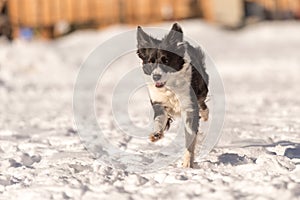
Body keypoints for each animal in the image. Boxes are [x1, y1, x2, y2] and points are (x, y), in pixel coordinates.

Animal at [137, 22, 209, 168]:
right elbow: (159, 120)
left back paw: (205, 114)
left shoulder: (189, 106)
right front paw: (156, 134)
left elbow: (190, 135)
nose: (156, 76)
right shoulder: (159, 103)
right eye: (150, 61)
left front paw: (187, 162)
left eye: (166, 60)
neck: (170, 88)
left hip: (202, 87)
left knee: (203, 103)